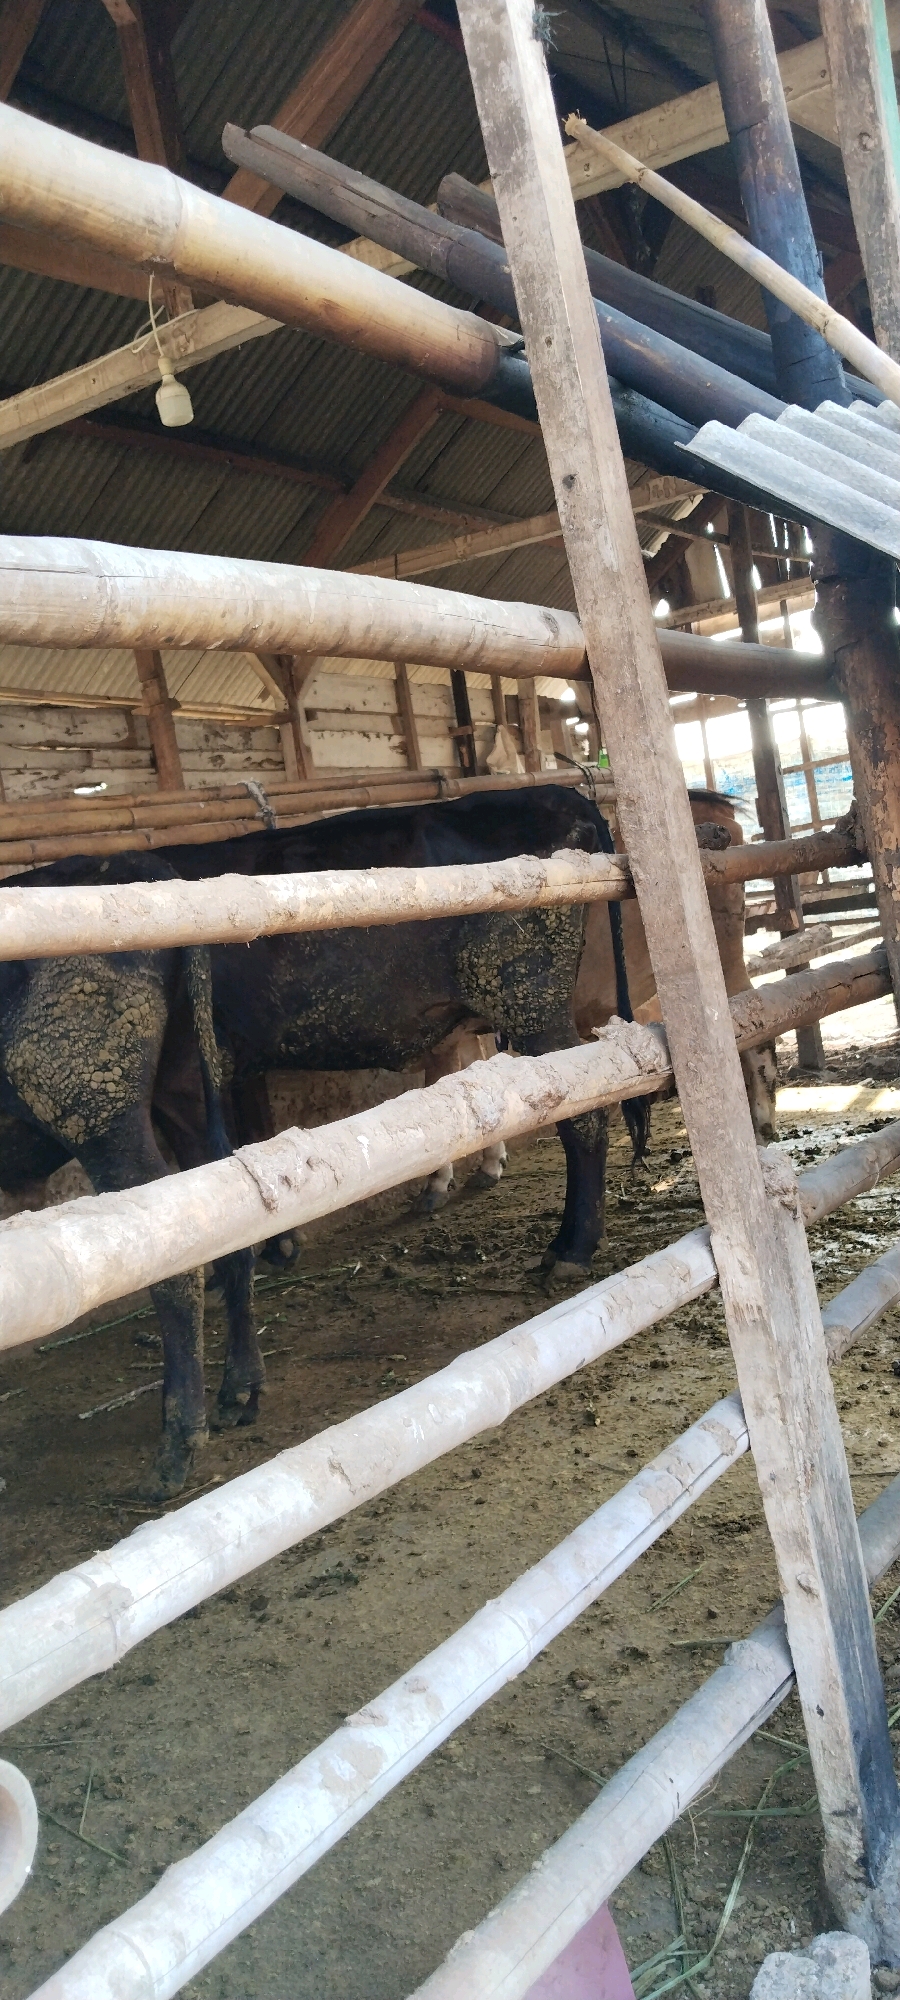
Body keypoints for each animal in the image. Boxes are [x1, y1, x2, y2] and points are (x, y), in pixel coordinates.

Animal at [0, 785, 648, 1499]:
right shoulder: (208, 1079)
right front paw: (273, 1260)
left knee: (584, 1116)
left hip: (527, 1000)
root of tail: (556, 791)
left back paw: (571, 1249)